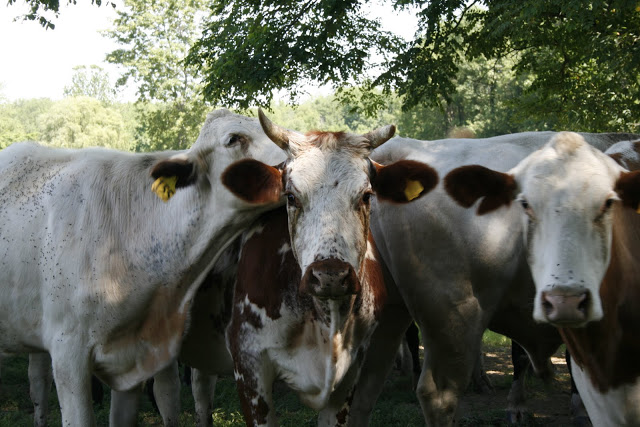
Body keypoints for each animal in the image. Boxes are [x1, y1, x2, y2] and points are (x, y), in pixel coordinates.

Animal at [220, 111, 438, 426]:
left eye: (366, 195)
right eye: (290, 196)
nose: (330, 275)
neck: (326, 320)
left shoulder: (349, 376)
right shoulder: (248, 367)